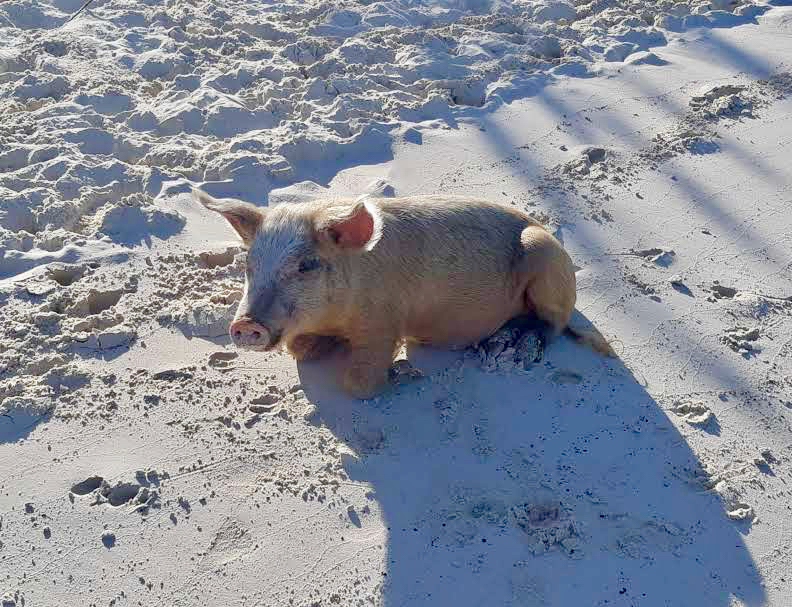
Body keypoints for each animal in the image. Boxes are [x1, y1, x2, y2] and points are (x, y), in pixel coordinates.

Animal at [195, 190, 616, 400]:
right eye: (249, 264)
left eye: (306, 265)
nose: (245, 325)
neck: (337, 316)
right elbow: (300, 349)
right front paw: (316, 347)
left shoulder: (383, 318)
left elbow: (359, 383)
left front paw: (404, 372)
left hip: (544, 255)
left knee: (553, 324)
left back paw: (506, 349)